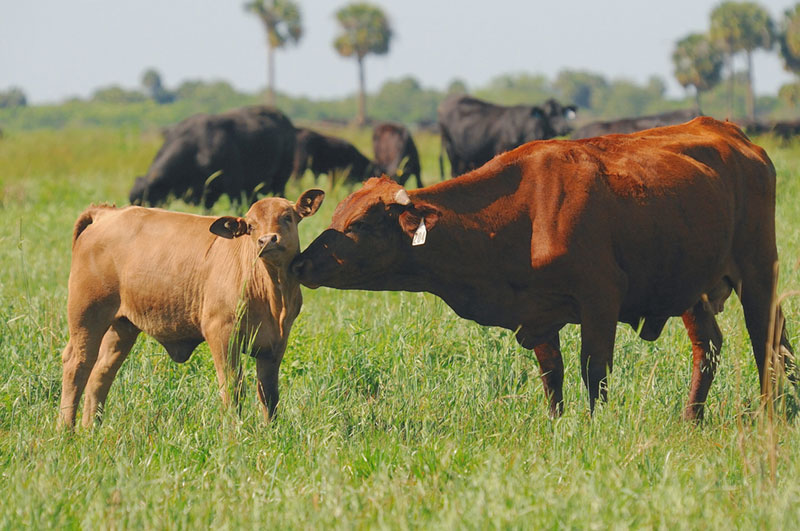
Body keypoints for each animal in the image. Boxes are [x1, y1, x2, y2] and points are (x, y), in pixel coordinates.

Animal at [58, 189, 325, 429]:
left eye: (287, 217)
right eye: (250, 226)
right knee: (78, 366)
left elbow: (268, 392)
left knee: (100, 374)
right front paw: (234, 432)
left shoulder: (276, 342)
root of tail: (107, 213)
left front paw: (271, 431)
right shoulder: (221, 332)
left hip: (122, 327)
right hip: (87, 316)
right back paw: (66, 430)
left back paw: (91, 428)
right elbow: (232, 386)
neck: (273, 294)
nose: (267, 240)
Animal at [291, 117, 795, 420]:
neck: (524, 213)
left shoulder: (599, 300)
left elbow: (594, 369)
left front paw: (595, 425)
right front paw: (556, 424)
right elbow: (552, 377)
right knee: (708, 348)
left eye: (357, 224)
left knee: (767, 337)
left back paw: (773, 411)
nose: (300, 262)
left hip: (757, 271)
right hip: (692, 287)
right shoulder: (536, 316)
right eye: (335, 216)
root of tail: (729, 131)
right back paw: (692, 417)